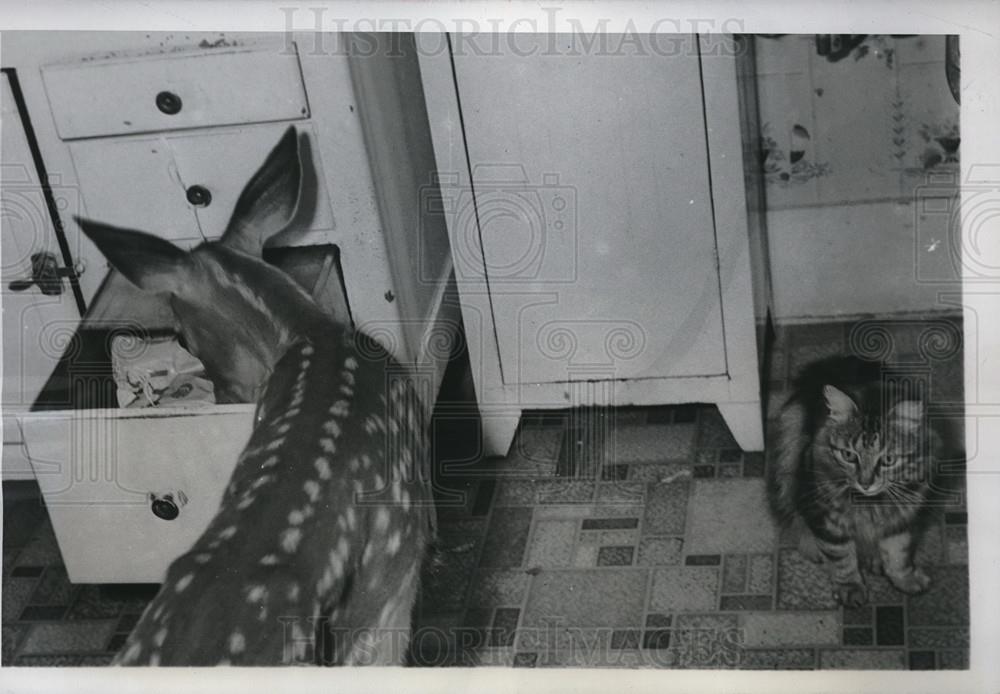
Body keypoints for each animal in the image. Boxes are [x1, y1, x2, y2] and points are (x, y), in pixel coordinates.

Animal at [768, 356, 940, 608]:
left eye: (888, 460)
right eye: (848, 455)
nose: (865, 483)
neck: (871, 504)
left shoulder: (903, 515)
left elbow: (899, 553)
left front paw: (905, 579)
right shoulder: (826, 516)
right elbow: (841, 556)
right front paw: (850, 588)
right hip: (786, 462)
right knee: (793, 517)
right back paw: (813, 546)